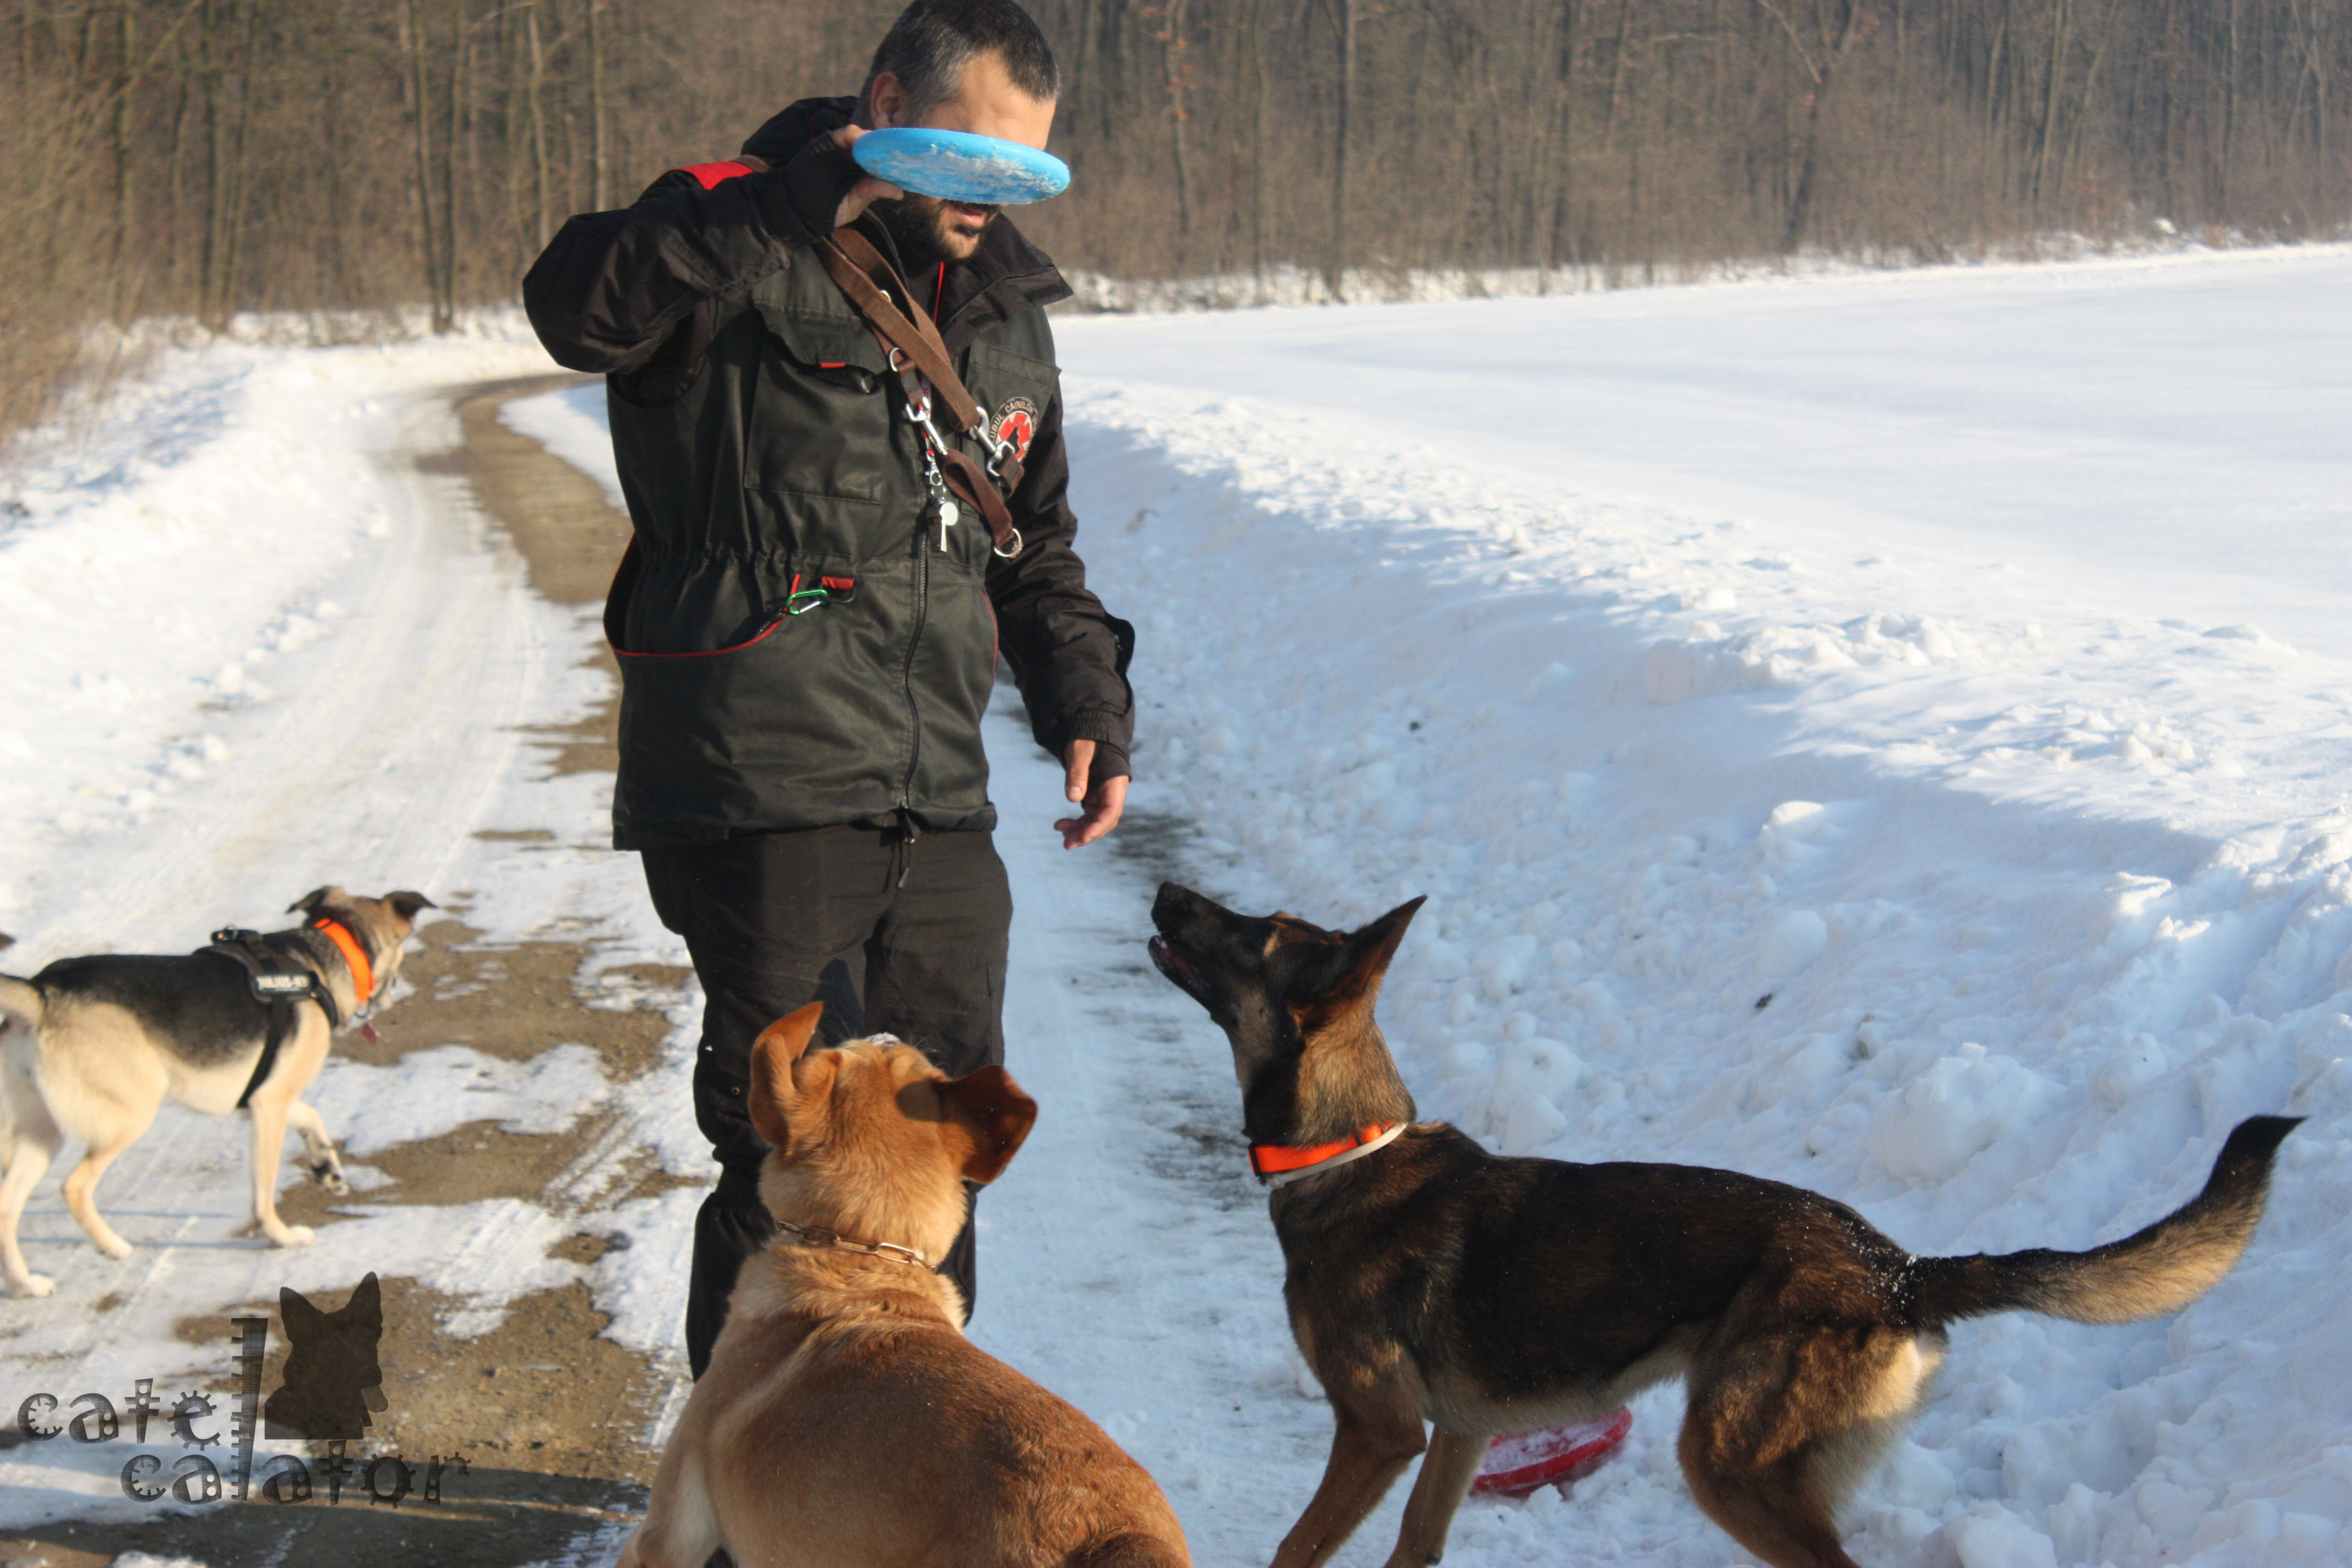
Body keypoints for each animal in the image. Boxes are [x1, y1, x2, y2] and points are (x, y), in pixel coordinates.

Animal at [0, 886, 434, 1298]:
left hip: (42, 1134)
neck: (325, 948)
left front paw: (325, 1165)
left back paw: (25, 1286)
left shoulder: (260, 1099)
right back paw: (112, 1246)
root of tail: (43, 992)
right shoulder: (270, 1105)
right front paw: (280, 1236)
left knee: (7, 1207)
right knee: (74, 1187)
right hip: (129, 1118)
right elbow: (263, 1191)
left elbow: (310, 1115)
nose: (395, 990)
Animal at [1147, 883, 2297, 1568]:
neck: (1347, 1148)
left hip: (1728, 1460)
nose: (1165, 890)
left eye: (1252, 935)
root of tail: (1898, 1269)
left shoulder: (1378, 1430)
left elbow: (1295, 1548)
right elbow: (1412, 1547)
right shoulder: (1457, 1436)